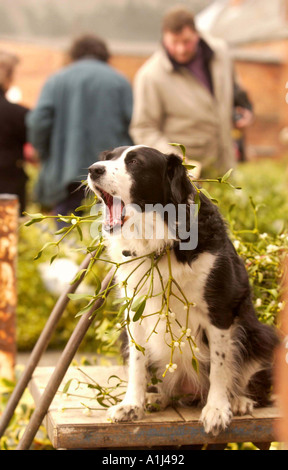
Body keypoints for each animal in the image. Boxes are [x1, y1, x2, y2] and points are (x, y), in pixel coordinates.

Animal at [88, 145, 280, 436]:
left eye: (135, 162)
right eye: (108, 158)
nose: (93, 169)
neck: (161, 239)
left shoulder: (220, 311)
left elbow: (221, 365)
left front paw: (217, 409)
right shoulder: (134, 313)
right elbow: (137, 362)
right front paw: (132, 404)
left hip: (261, 334)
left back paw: (239, 401)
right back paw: (156, 397)